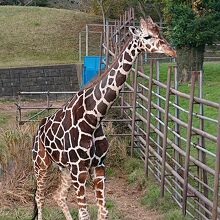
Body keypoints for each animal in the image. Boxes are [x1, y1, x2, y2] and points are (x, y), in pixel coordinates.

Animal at [31, 16, 176, 220]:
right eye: (147, 36)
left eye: (160, 32)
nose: (172, 50)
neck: (94, 118)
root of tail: (39, 129)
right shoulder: (79, 169)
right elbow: (84, 213)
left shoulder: (98, 166)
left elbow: (103, 211)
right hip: (41, 162)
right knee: (40, 196)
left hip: (64, 168)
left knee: (58, 196)